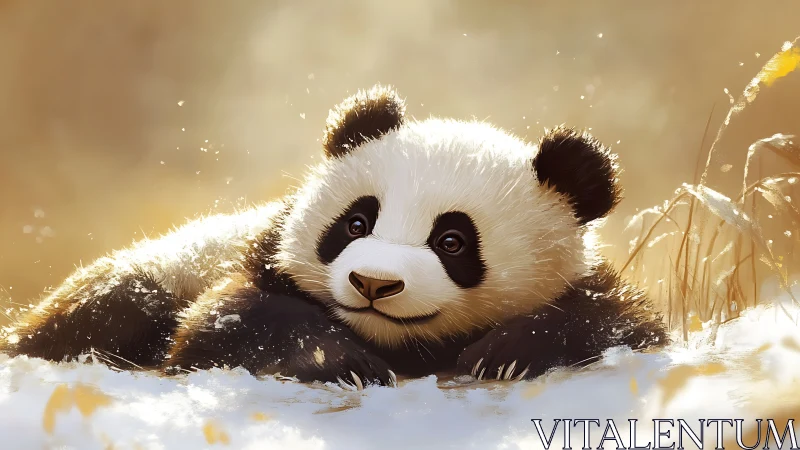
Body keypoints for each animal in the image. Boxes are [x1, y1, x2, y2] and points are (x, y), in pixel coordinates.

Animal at [0, 85, 667, 388]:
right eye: (356, 223)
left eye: (452, 241)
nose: (373, 282)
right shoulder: (259, 257)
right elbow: (223, 323)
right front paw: (341, 362)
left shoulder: (592, 290)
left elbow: (613, 323)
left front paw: (503, 353)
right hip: (159, 269)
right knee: (107, 308)